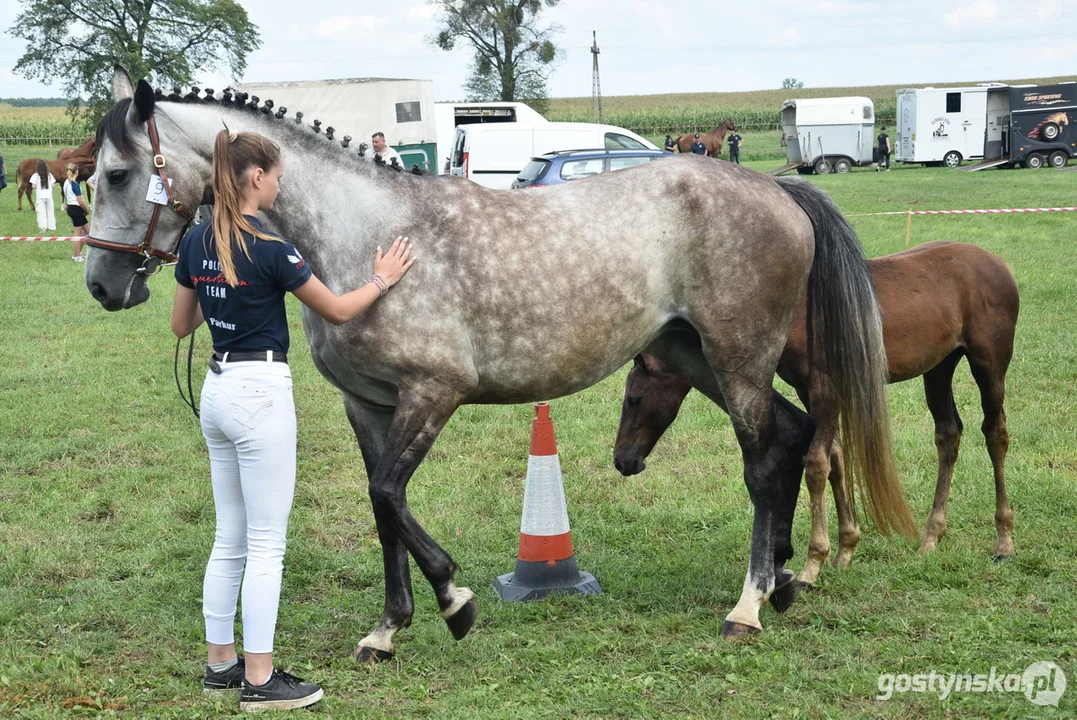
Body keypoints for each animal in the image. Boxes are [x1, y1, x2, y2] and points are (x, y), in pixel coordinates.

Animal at [84, 68, 917, 662]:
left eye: (118, 174)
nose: (102, 285)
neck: (366, 234)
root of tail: (777, 186)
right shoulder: (369, 405)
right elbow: (382, 508)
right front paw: (387, 630)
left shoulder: (433, 392)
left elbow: (389, 495)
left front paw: (455, 603)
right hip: (699, 358)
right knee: (792, 435)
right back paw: (782, 583)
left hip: (737, 358)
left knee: (762, 461)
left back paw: (747, 605)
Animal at [616, 238, 1016, 585]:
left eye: (633, 398)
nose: (623, 460)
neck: (794, 313)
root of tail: (997, 263)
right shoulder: (808, 391)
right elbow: (835, 457)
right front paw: (845, 549)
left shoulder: (826, 389)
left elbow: (816, 464)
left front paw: (814, 562)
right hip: (939, 368)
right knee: (948, 435)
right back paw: (932, 537)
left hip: (988, 364)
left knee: (995, 433)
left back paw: (1004, 541)